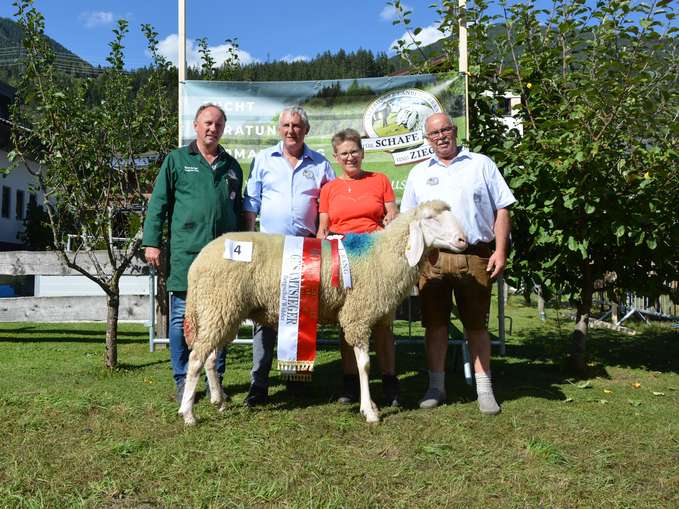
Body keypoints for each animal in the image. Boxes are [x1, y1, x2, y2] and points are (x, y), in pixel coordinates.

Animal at [178, 198, 470, 424]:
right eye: (430, 218)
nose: (463, 240)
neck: (382, 255)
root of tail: (198, 262)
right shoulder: (358, 316)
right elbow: (364, 365)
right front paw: (369, 411)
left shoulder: (371, 316)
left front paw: (372, 406)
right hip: (219, 305)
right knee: (196, 358)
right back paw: (188, 413)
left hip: (222, 311)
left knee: (209, 357)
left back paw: (219, 401)